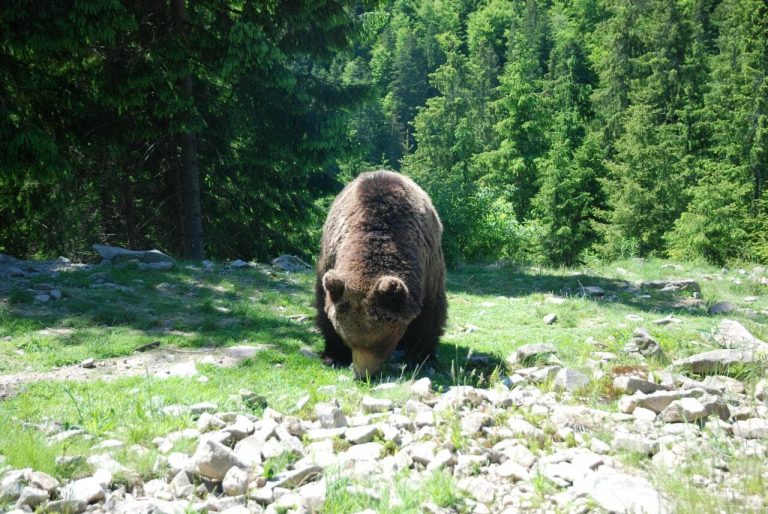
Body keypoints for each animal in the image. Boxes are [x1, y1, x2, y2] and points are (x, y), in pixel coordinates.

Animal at [316, 170, 448, 374]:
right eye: (349, 339)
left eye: (382, 342)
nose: (363, 374)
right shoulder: (330, 257)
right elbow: (324, 306)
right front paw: (334, 356)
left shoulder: (428, 267)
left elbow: (430, 313)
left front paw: (421, 357)